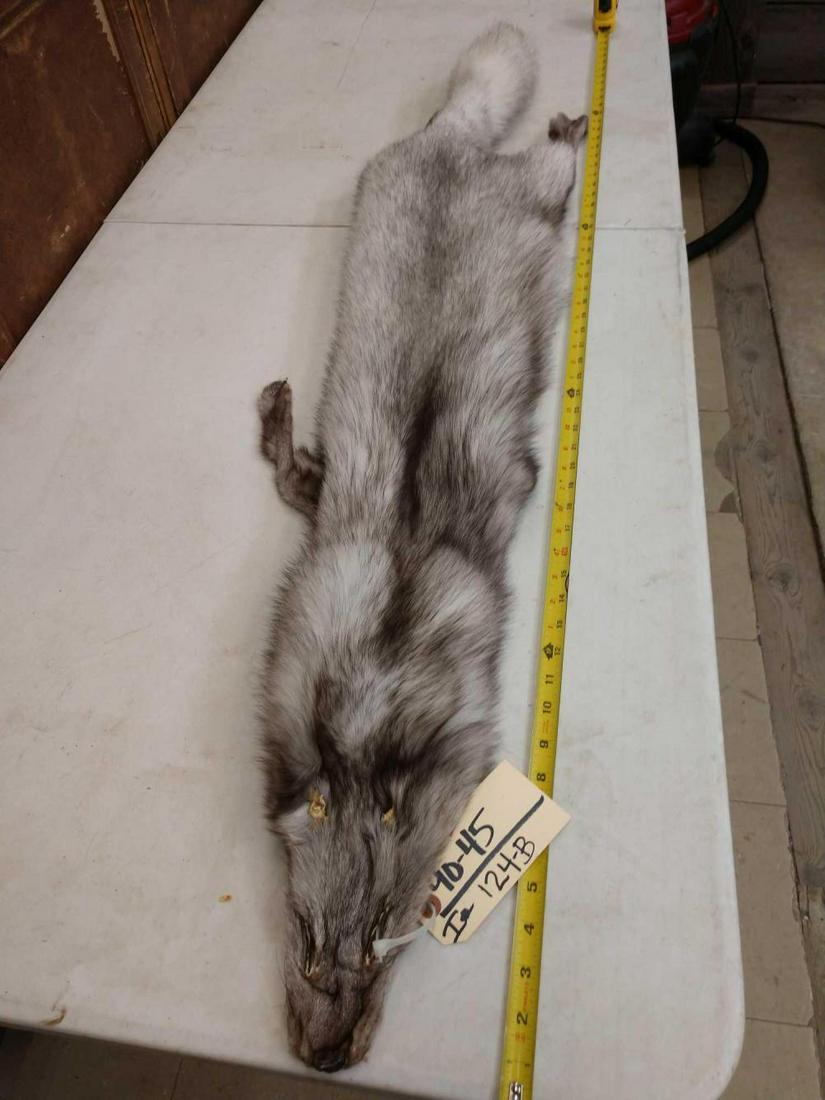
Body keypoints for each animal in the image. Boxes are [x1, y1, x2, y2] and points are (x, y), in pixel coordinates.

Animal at [256, 22, 587, 1073]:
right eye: (310, 946)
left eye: (386, 941)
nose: (326, 1061)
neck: (373, 709)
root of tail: (455, 147)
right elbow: (297, 480)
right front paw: (281, 430)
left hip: (541, 198)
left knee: (554, 163)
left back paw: (569, 126)